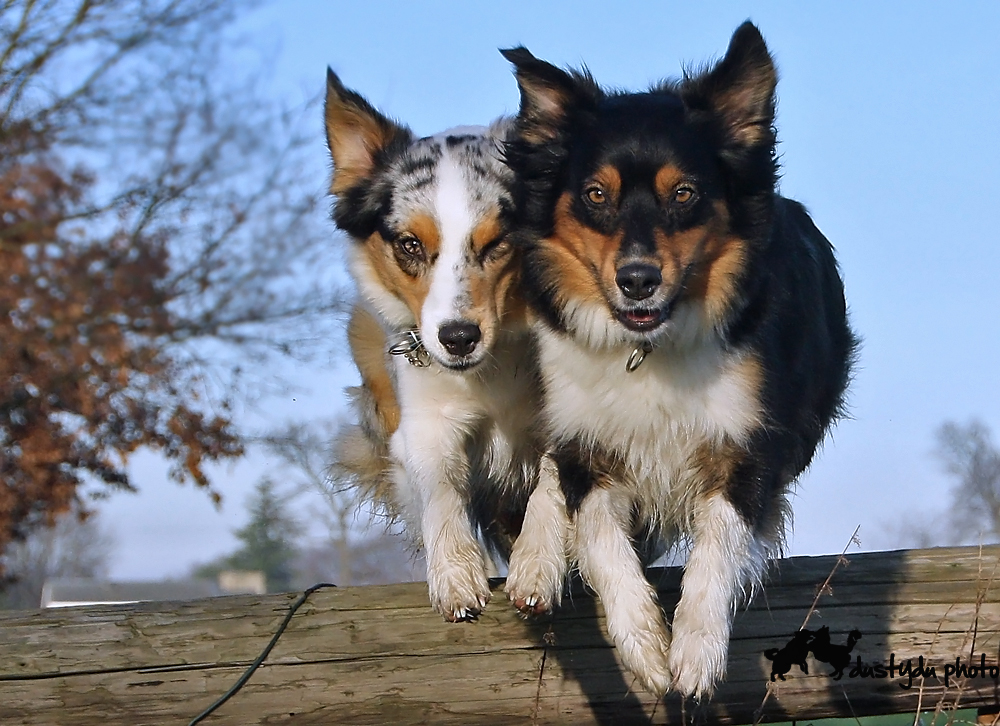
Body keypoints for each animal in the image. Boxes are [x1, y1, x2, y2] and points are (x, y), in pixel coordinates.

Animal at [504, 24, 856, 704]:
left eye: (684, 193)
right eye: (596, 195)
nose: (637, 280)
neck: (650, 348)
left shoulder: (746, 442)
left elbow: (718, 548)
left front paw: (694, 654)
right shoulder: (590, 441)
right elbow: (599, 536)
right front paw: (643, 644)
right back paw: (534, 560)